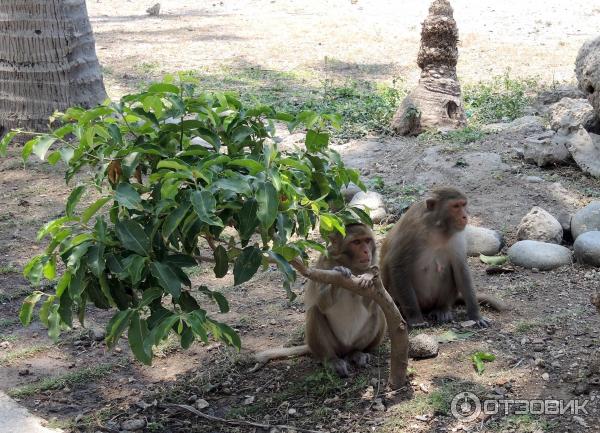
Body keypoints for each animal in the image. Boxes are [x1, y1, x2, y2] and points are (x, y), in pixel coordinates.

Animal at [252, 224, 384, 376]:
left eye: (367, 240)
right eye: (356, 242)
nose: (366, 251)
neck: (351, 264)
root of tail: (345, 349)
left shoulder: (374, 261)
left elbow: (372, 304)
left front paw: (368, 276)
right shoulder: (324, 263)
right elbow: (322, 304)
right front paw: (340, 274)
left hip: (356, 343)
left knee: (378, 313)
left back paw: (357, 353)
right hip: (334, 345)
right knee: (314, 311)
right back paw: (331, 360)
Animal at [382, 186, 504, 328]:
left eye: (463, 204)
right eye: (455, 206)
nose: (465, 216)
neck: (436, 228)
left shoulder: (457, 235)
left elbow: (460, 268)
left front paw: (476, 316)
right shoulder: (410, 230)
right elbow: (398, 266)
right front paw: (416, 319)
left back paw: (442, 309)